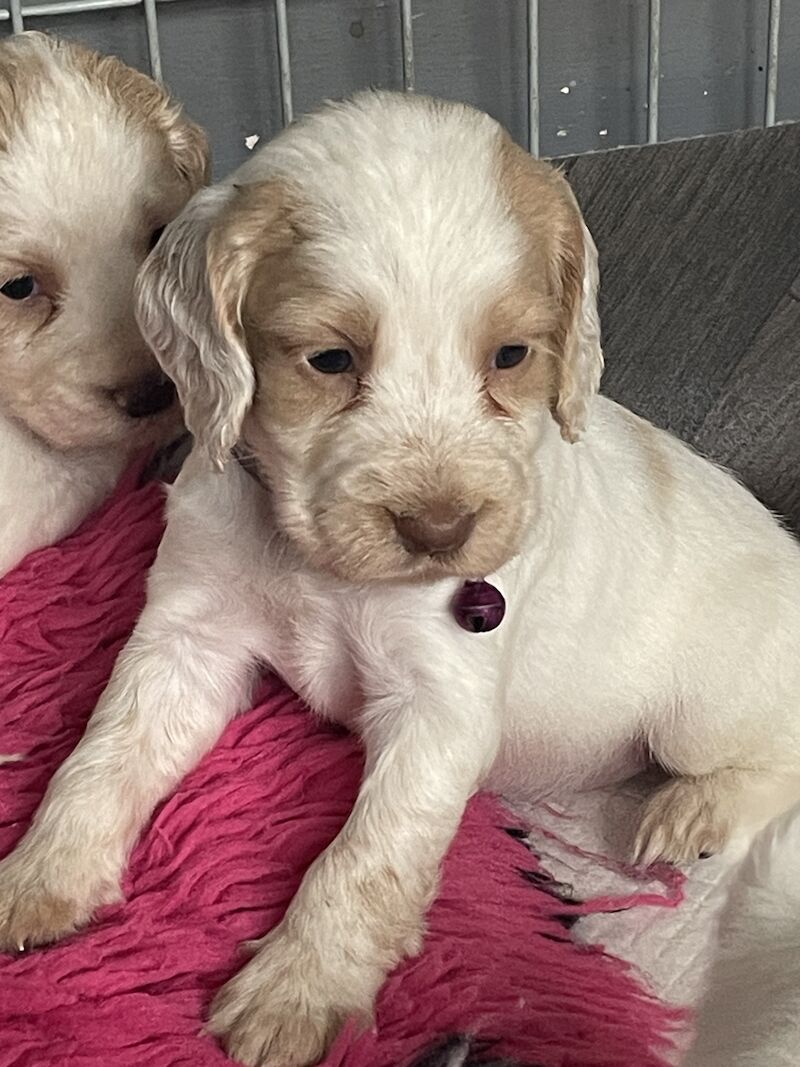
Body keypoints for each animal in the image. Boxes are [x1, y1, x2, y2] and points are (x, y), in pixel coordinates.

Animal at [1, 91, 800, 1067]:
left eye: (511, 355)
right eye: (330, 360)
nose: (441, 530)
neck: (319, 565)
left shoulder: (439, 708)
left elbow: (365, 857)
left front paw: (296, 989)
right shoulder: (186, 636)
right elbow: (104, 751)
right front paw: (40, 873)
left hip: (702, 712)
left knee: (777, 755)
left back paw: (694, 813)